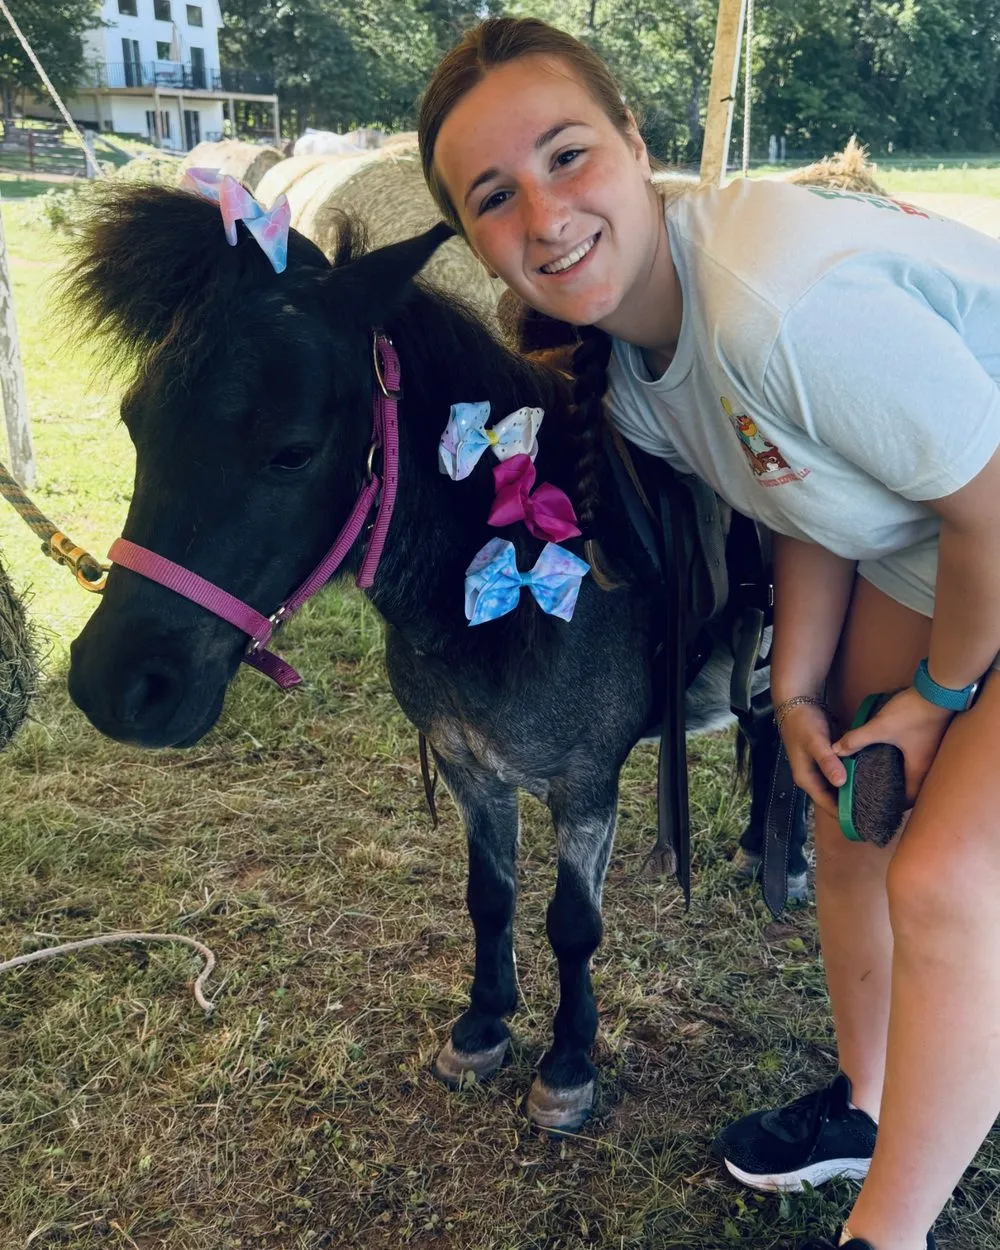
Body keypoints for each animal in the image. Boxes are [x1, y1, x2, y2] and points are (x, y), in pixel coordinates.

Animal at [64, 182, 805, 1132]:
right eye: (134, 422)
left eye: (293, 452)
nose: (117, 687)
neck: (509, 585)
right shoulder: (468, 766)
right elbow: (490, 899)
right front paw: (483, 1026)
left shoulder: (584, 785)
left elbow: (573, 924)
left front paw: (569, 1063)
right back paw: (760, 849)